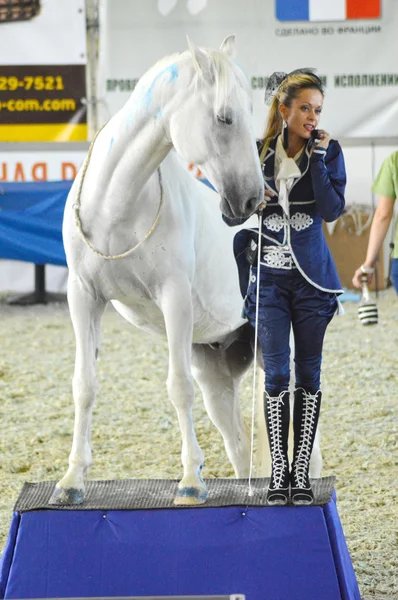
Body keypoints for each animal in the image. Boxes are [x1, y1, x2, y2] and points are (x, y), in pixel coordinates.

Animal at [51, 36, 266, 506]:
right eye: (224, 117)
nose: (250, 200)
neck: (116, 206)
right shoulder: (83, 297)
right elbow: (83, 385)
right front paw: (72, 480)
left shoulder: (175, 299)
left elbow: (177, 387)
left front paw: (190, 481)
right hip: (217, 373)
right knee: (239, 444)